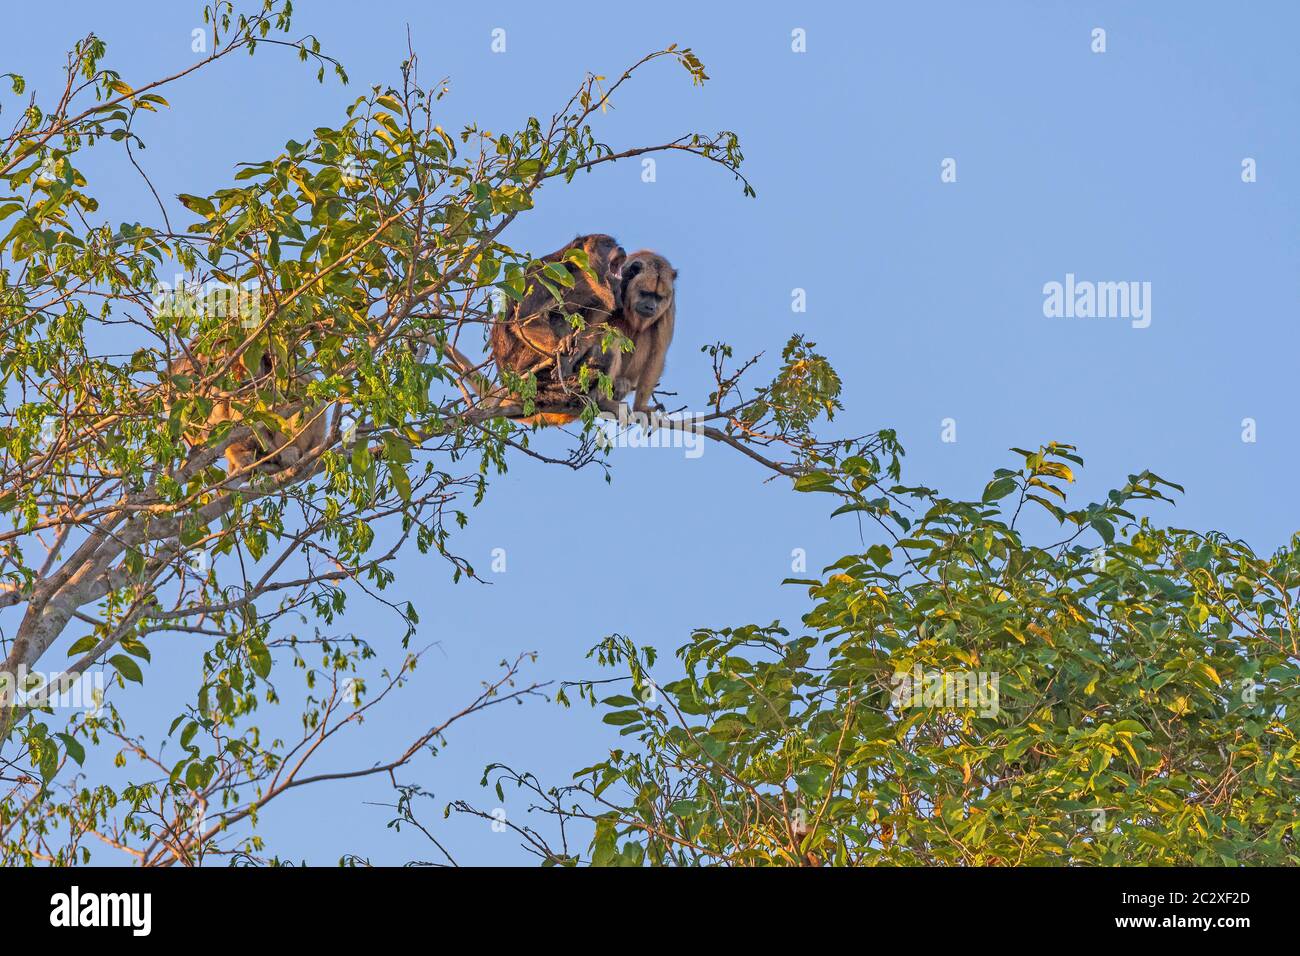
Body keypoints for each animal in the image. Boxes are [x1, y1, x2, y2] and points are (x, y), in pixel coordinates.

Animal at [488, 234, 626, 426]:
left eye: (616, 244)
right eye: (607, 245)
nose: (621, 249)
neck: (582, 276)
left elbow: (591, 326)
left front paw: (571, 357)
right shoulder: (545, 271)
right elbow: (525, 320)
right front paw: (563, 355)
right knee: (555, 315)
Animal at [610, 250, 676, 414]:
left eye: (658, 297)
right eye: (645, 293)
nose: (650, 307)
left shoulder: (669, 307)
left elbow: (658, 351)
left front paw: (640, 407)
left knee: (646, 334)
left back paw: (622, 383)